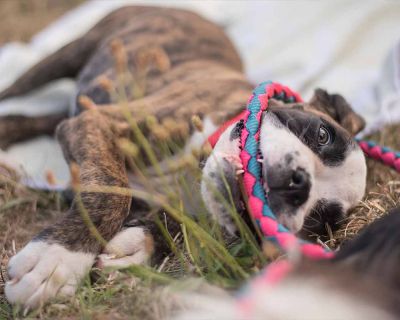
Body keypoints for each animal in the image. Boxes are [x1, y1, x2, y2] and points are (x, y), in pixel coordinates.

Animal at [0, 5, 368, 310]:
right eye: (323, 135)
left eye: (319, 218)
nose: (299, 184)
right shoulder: (97, 123)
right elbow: (109, 194)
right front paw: (55, 260)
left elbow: (171, 222)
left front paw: (135, 247)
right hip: (71, 53)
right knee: (20, 88)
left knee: (42, 120)